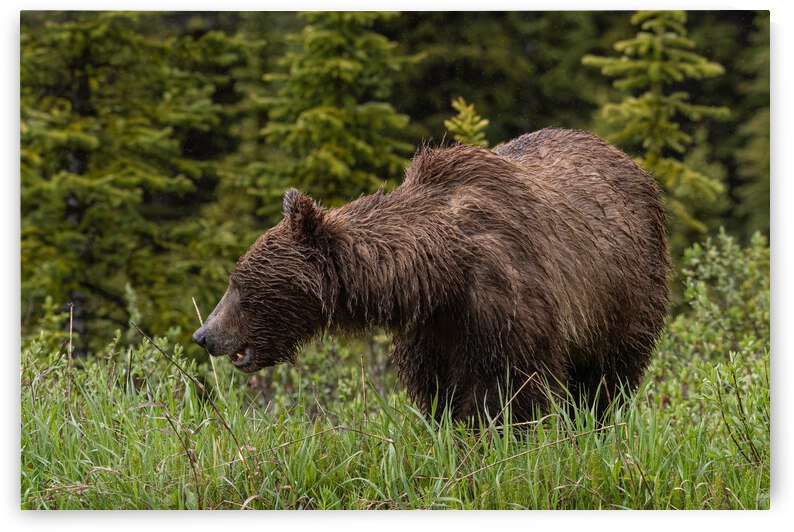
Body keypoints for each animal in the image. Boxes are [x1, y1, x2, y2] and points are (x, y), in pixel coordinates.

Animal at [192, 128, 670, 422]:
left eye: (239, 285)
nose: (204, 334)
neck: (440, 272)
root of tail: (629, 161)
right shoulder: (432, 326)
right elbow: (437, 389)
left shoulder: (506, 300)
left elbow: (506, 388)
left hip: (624, 292)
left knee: (608, 375)